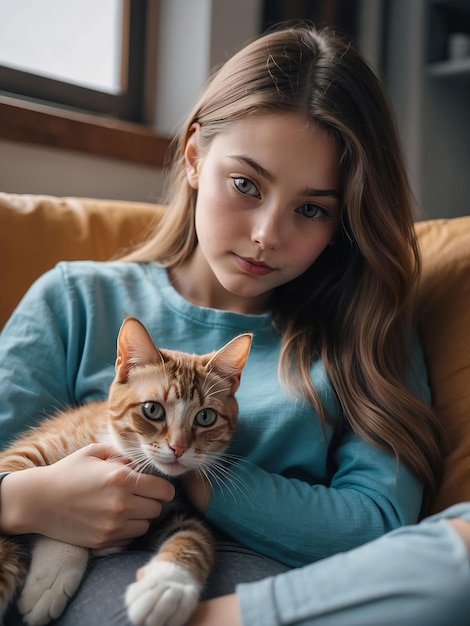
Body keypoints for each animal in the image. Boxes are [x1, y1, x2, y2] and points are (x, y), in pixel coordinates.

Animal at [0, 316, 253, 624]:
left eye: (205, 417)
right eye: (152, 410)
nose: (178, 447)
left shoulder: (175, 504)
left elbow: (194, 537)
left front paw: (166, 587)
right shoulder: (25, 453)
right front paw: (55, 574)